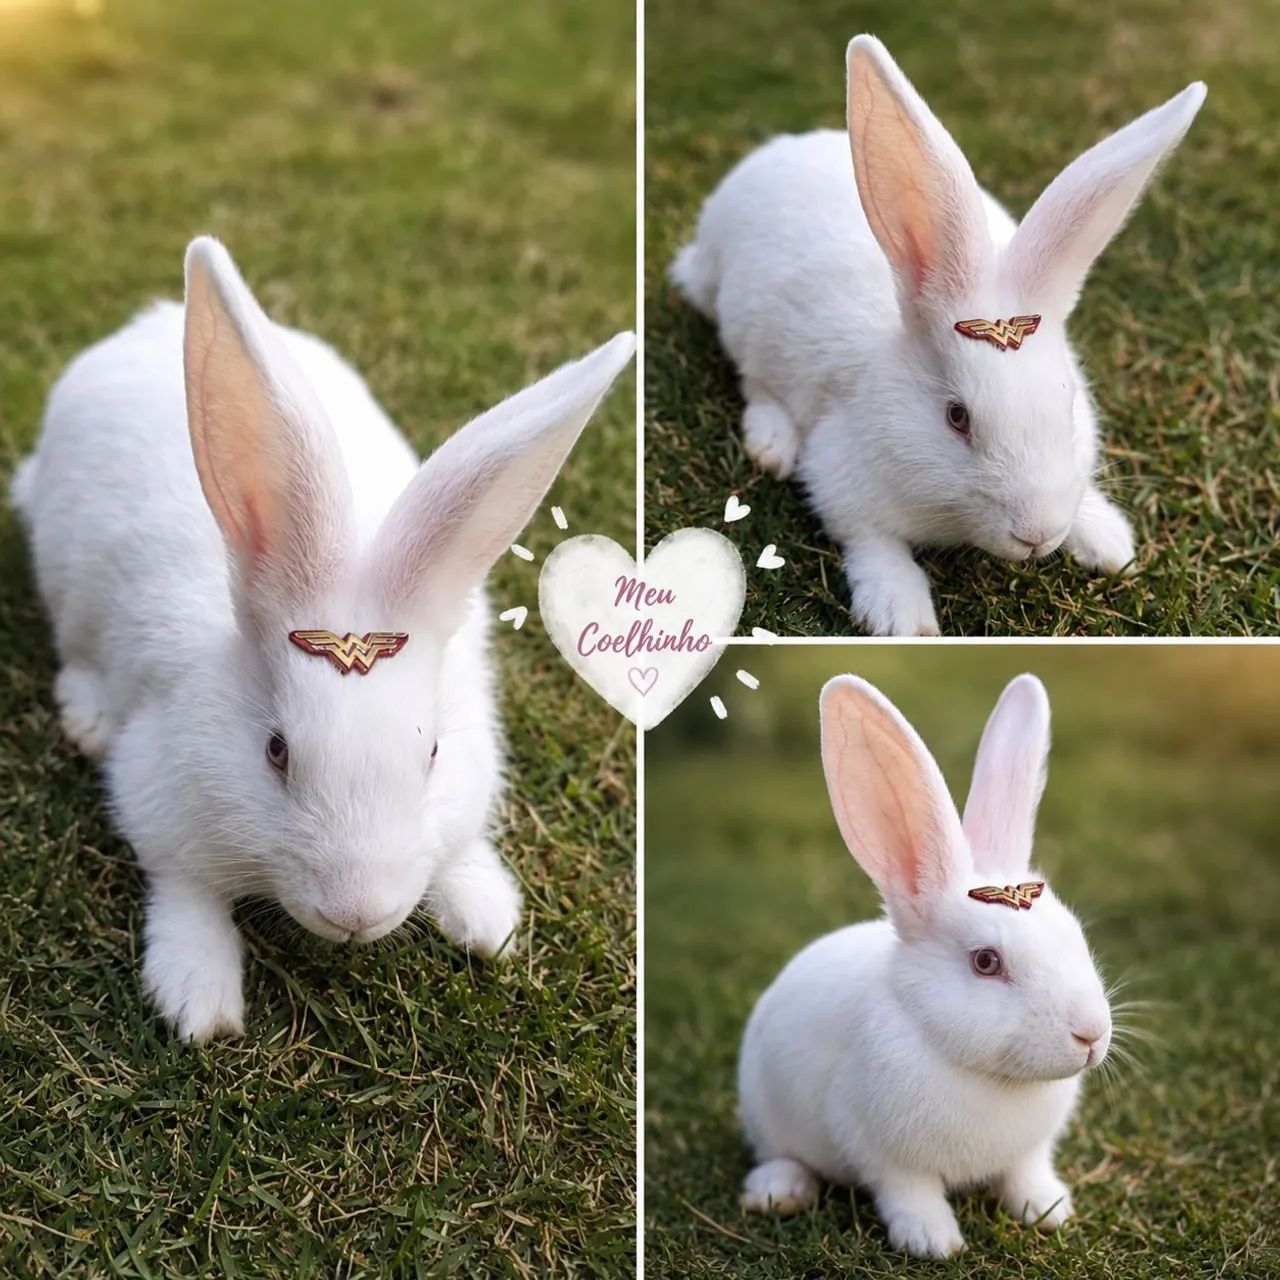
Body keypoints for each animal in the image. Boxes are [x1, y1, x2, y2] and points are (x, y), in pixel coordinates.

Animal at [11, 236, 635, 1043]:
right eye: (276, 752)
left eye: (432, 753)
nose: (355, 913)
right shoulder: (157, 800)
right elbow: (187, 894)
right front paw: (200, 1002)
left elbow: (461, 847)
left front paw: (488, 920)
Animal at [671, 35, 1206, 635]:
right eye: (957, 418)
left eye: (1068, 404)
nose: (1037, 534)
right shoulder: (842, 482)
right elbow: (873, 544)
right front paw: (903, 616)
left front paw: (1112, 545)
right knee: (755, 380)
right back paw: (771, 444)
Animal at [736, 673, 1111, 1257]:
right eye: (986, 962)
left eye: (1075, 936)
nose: (1091, 1034)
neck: (986, 1076)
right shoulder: (880, 1151)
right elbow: (908, 1193)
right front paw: (934, 1242)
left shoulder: (1029, 1151)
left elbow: (1024, 1174)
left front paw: (1049, 1211)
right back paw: (778, 1192)